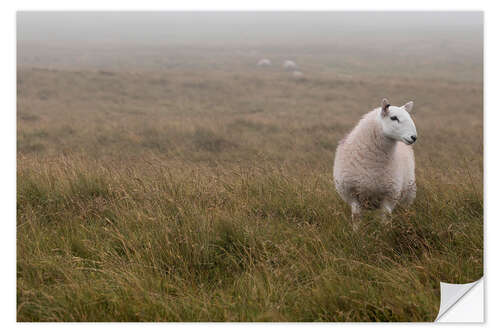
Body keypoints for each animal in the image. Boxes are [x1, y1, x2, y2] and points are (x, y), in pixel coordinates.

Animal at [332, 97, 418, 230]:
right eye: (394, 118)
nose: (414, 137)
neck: (373, 165)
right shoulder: (352, 194)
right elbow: (356, 216)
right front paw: (356, 232)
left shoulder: (390, 195)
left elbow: (385, 217)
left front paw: (384, 232)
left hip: (408, 194)